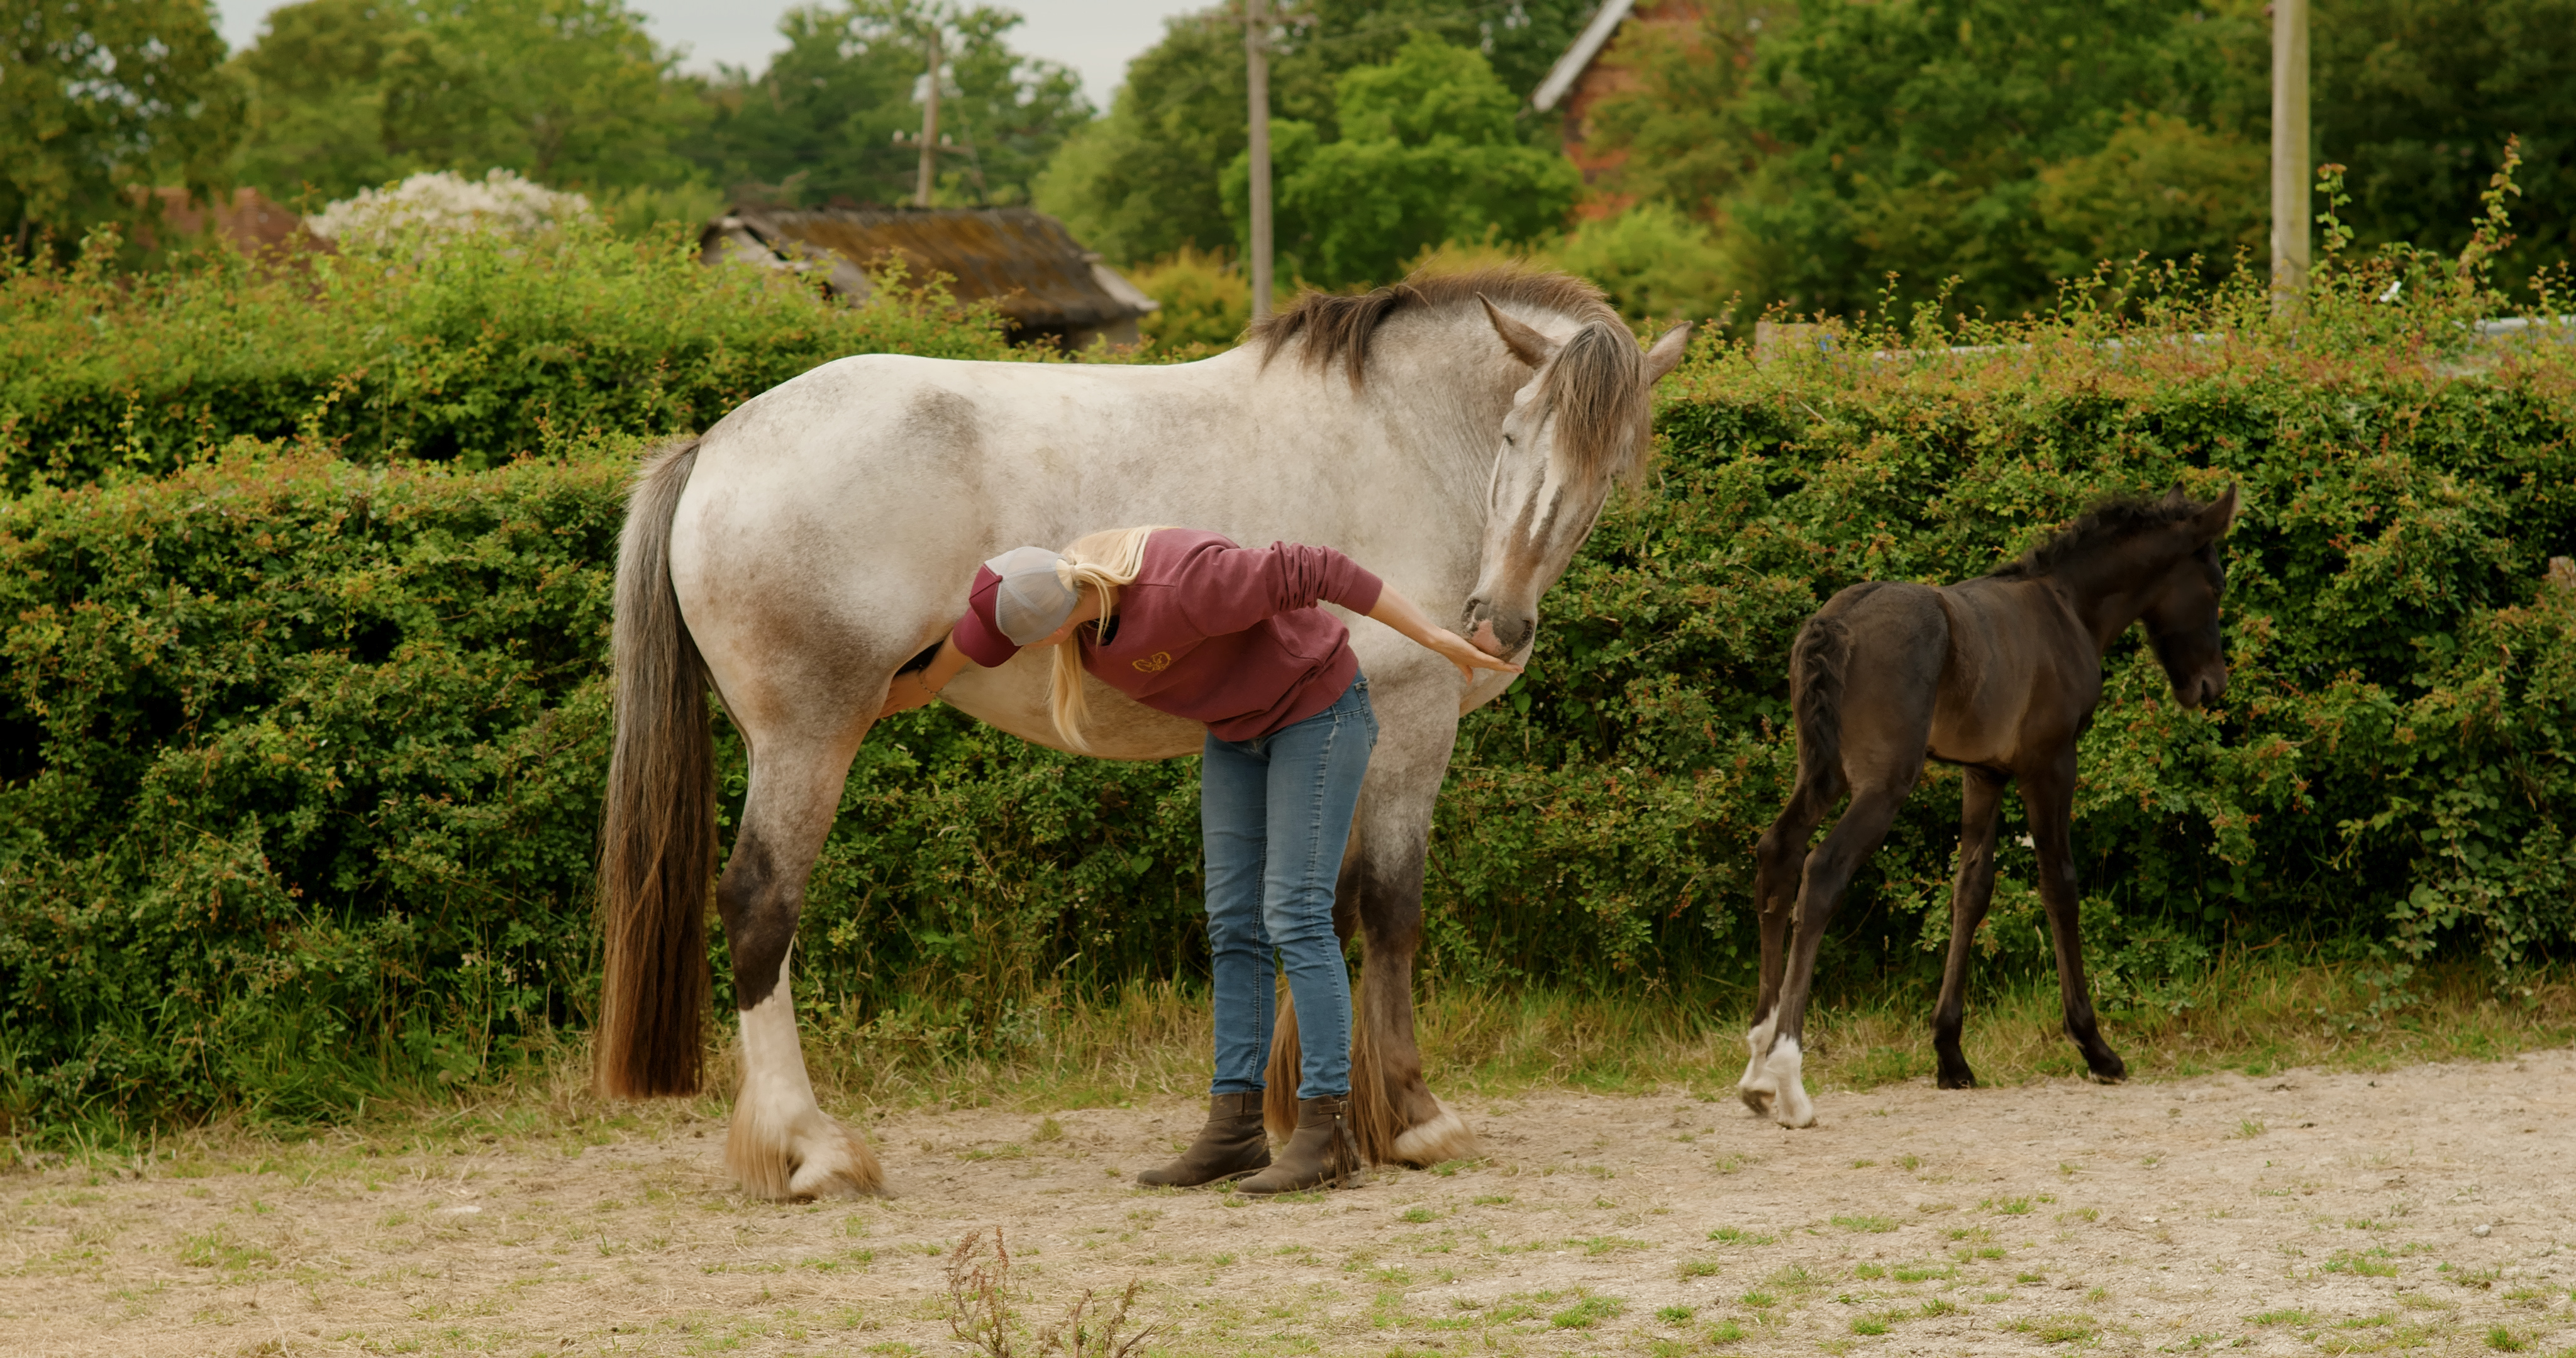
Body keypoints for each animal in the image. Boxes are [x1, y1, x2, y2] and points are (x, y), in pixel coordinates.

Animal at [595, 267, 1691, 1198]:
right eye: (1512, 437)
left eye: (1610, 468)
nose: (1495, 622)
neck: (1404, 432)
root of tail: (717, 445)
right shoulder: (1411, 731)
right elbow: (1389, 913)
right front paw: (1416, 1119)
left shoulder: (1343, 740)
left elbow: (1325, 912)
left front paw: (1315, 1113)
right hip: (808, 740)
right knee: (760, 906)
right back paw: (813, 1149)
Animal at [1738, 486, 2239, 1128]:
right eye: (2214, 586)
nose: (2210, 686)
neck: (2066, 607)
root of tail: (1835, 622)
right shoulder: (2050, 764)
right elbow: (2060, 886)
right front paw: (2096, 1048)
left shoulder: (1984, 773)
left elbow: (1971, 890)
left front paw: (1951, 1056)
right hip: (1882, 783)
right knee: (1822, 872)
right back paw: (1790, 1080)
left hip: (1820, 772)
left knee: (1777, 855)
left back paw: (1757, 1071)